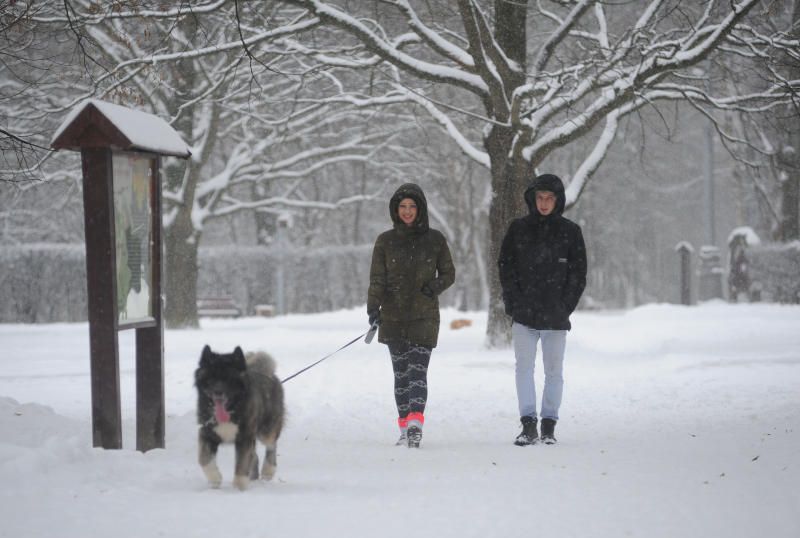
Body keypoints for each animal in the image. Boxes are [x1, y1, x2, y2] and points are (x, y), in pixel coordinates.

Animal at [195, 344, 286, 490]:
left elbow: (242, 463)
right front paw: (215, 479)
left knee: (271, 445)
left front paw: (239, 486)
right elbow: (204, 459)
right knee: (255, 456)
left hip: (267, 430)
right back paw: (253, 477)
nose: (218, 392)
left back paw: (268, 470)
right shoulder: (206, 433)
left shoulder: (245, 437)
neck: (231, 410)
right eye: (211, 378)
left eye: (228, 379)